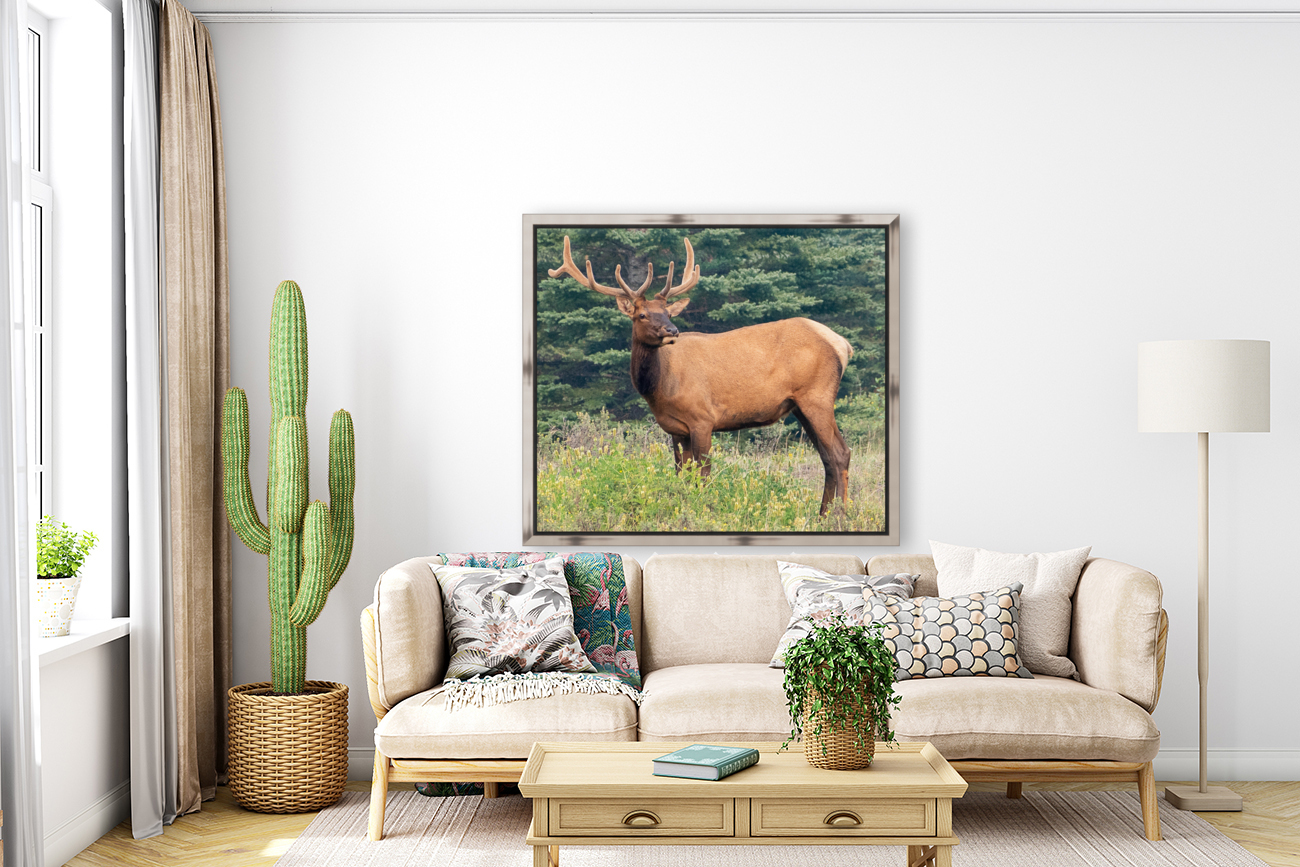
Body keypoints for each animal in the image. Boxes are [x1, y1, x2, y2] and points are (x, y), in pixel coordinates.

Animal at [549, 235, 855, 516]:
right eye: (642, 315)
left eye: (668, 312)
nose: (672, 330)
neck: (661, 387)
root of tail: (842, 344)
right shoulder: (675, 428)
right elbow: (681, 474)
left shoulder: (703, 418)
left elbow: (703, 475)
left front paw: (703, 511)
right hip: (800, 405)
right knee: (827, 456)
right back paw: (822, 515)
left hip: (817, 396)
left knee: (840, 453)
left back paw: (839, 515)